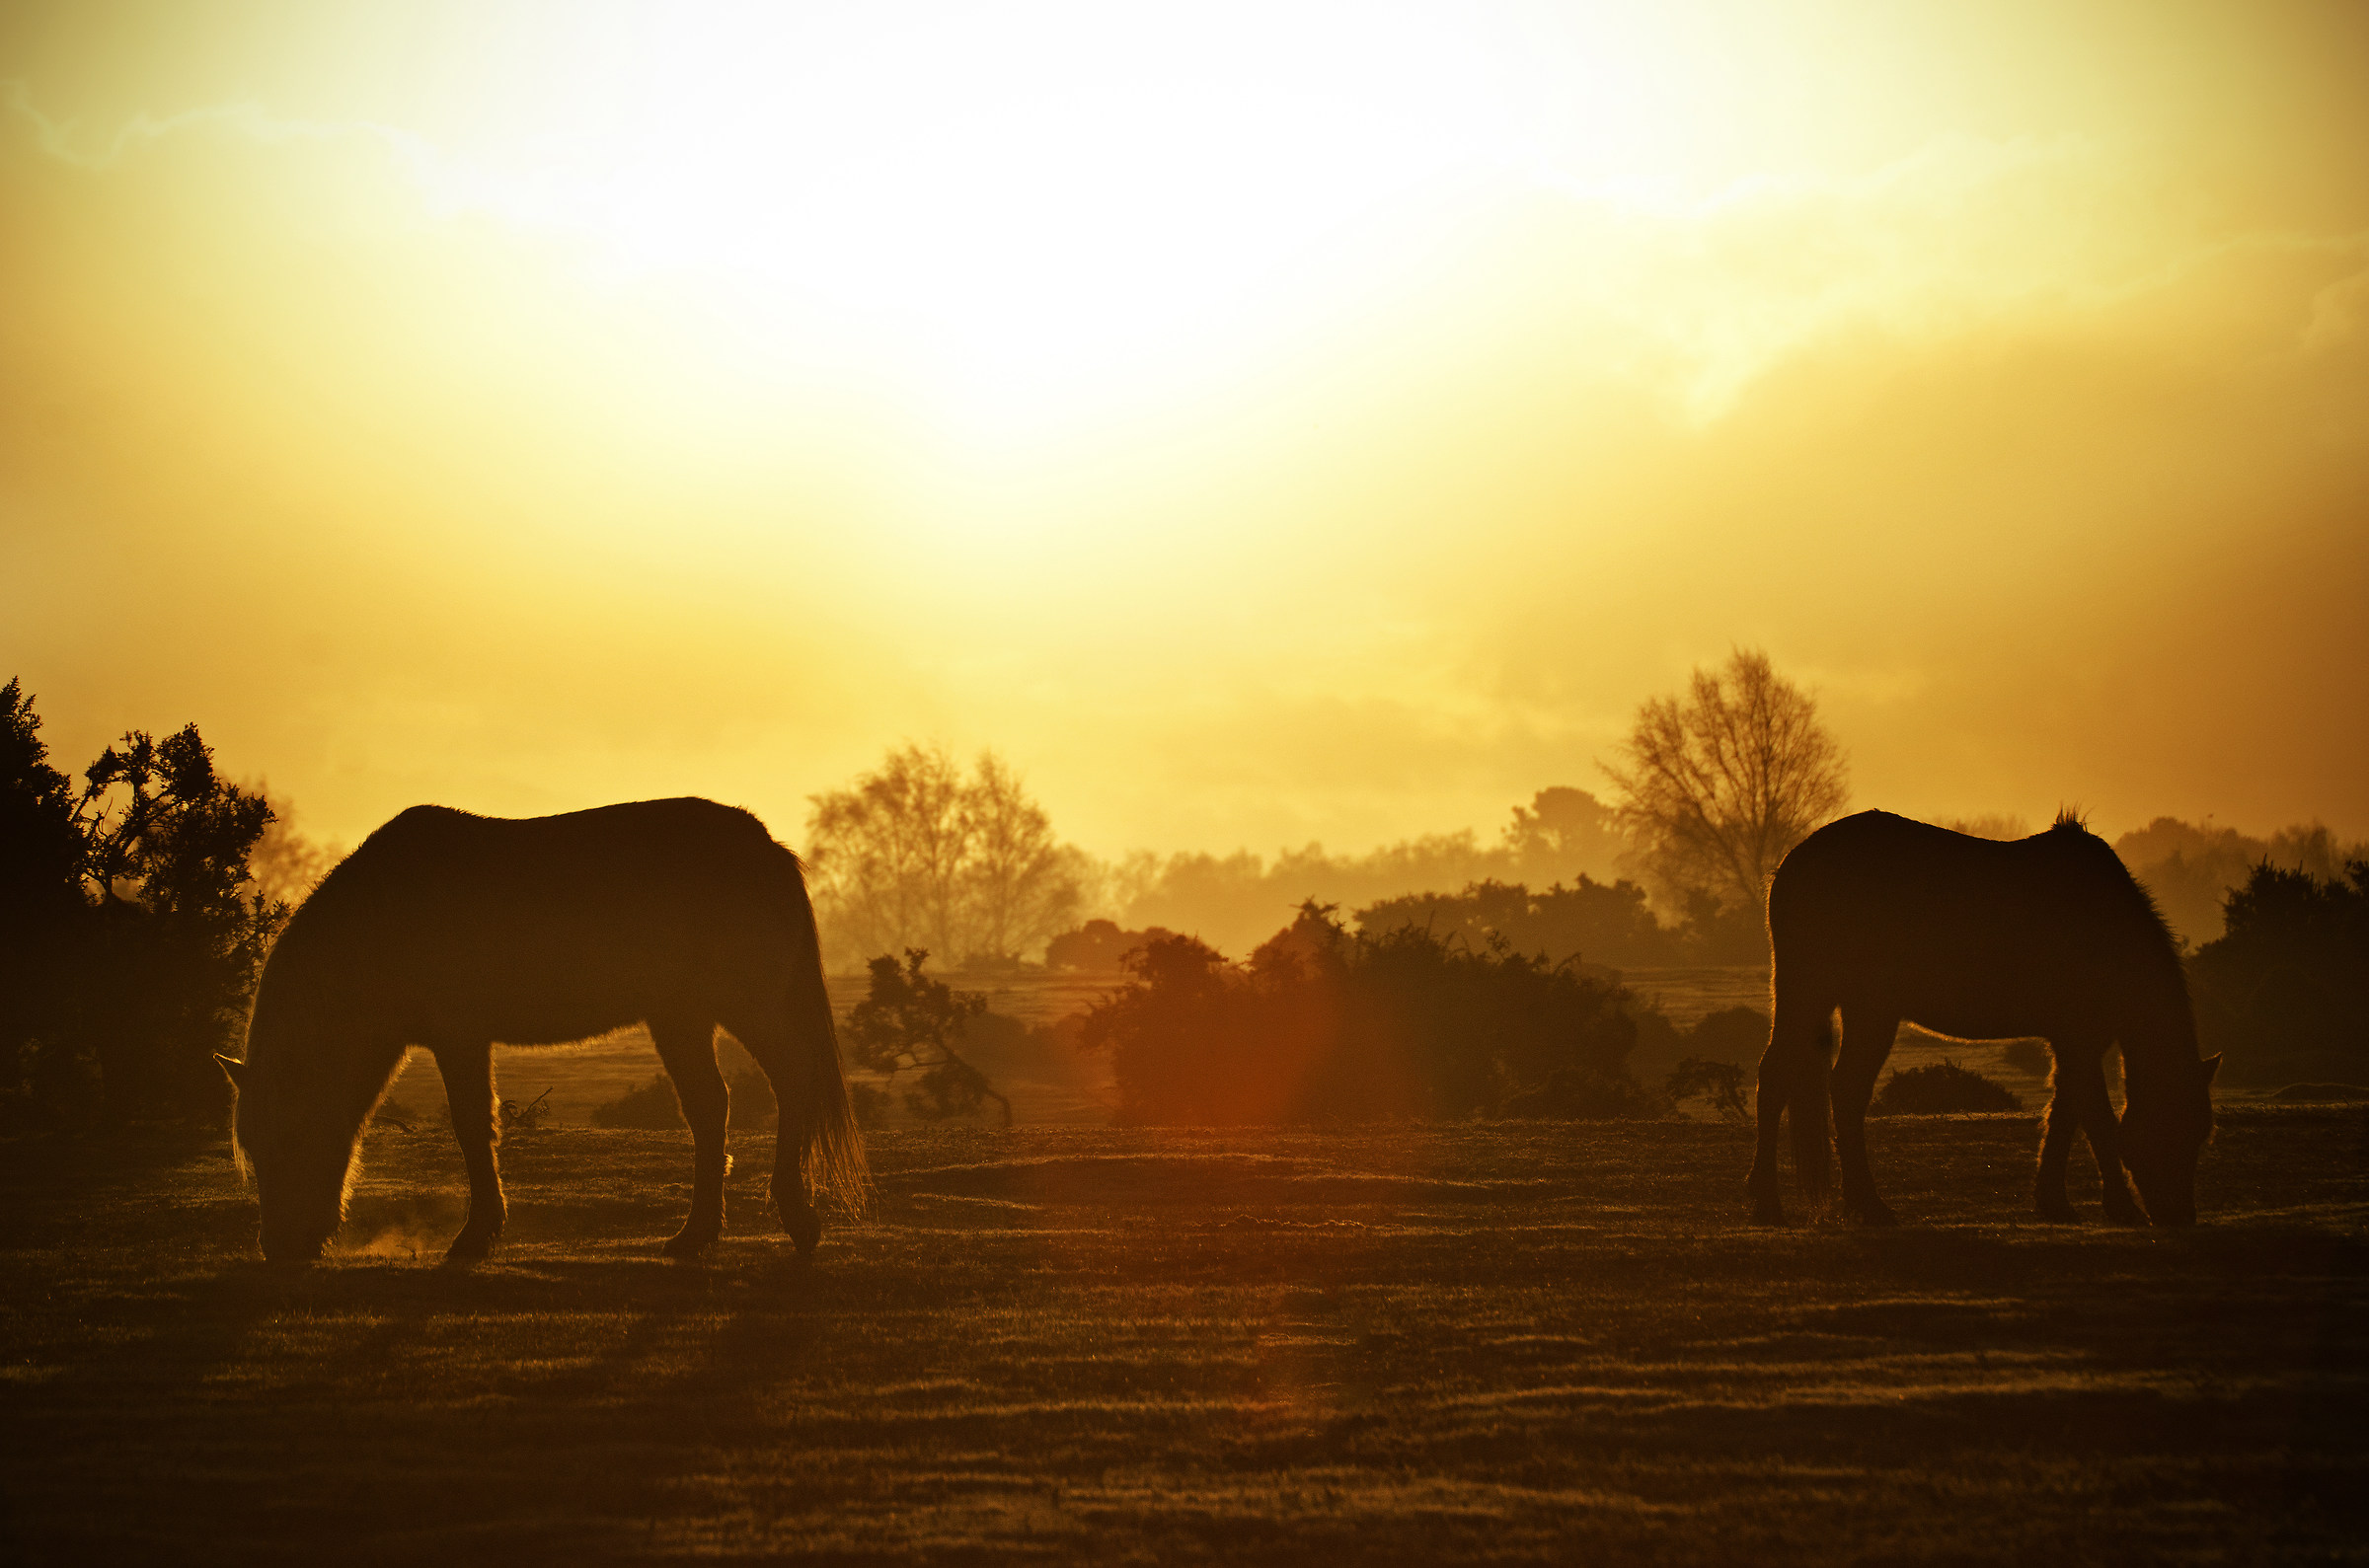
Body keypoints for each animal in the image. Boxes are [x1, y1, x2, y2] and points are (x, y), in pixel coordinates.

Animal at [219, 797, 869, 1264]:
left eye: (288, 1137)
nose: (280, 1249)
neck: (386, 912)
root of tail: (767, 847)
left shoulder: (459, 1036)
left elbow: (472, 1126)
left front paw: (477, 1236)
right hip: (683, 1016)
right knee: (712, 1107)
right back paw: (696, 1235)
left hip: (746, 1006)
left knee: (793, 1085)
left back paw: (797, 1219)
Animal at [1746, 810, 2217, 1227]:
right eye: (2171, 1127)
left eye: (2200, 1133)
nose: (2180, 1217)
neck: (2106, 927)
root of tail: (1791, 864)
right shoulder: (2079, 1041)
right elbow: (2097, 1120)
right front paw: (2120, 1207)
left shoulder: (2074, 1043)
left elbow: (2064, 1113)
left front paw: (2053, 1201)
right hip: (1844, 1002)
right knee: (1811, 1085)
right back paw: (1809, 1205)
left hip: (1836, 1003)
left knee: (1810, 1084)